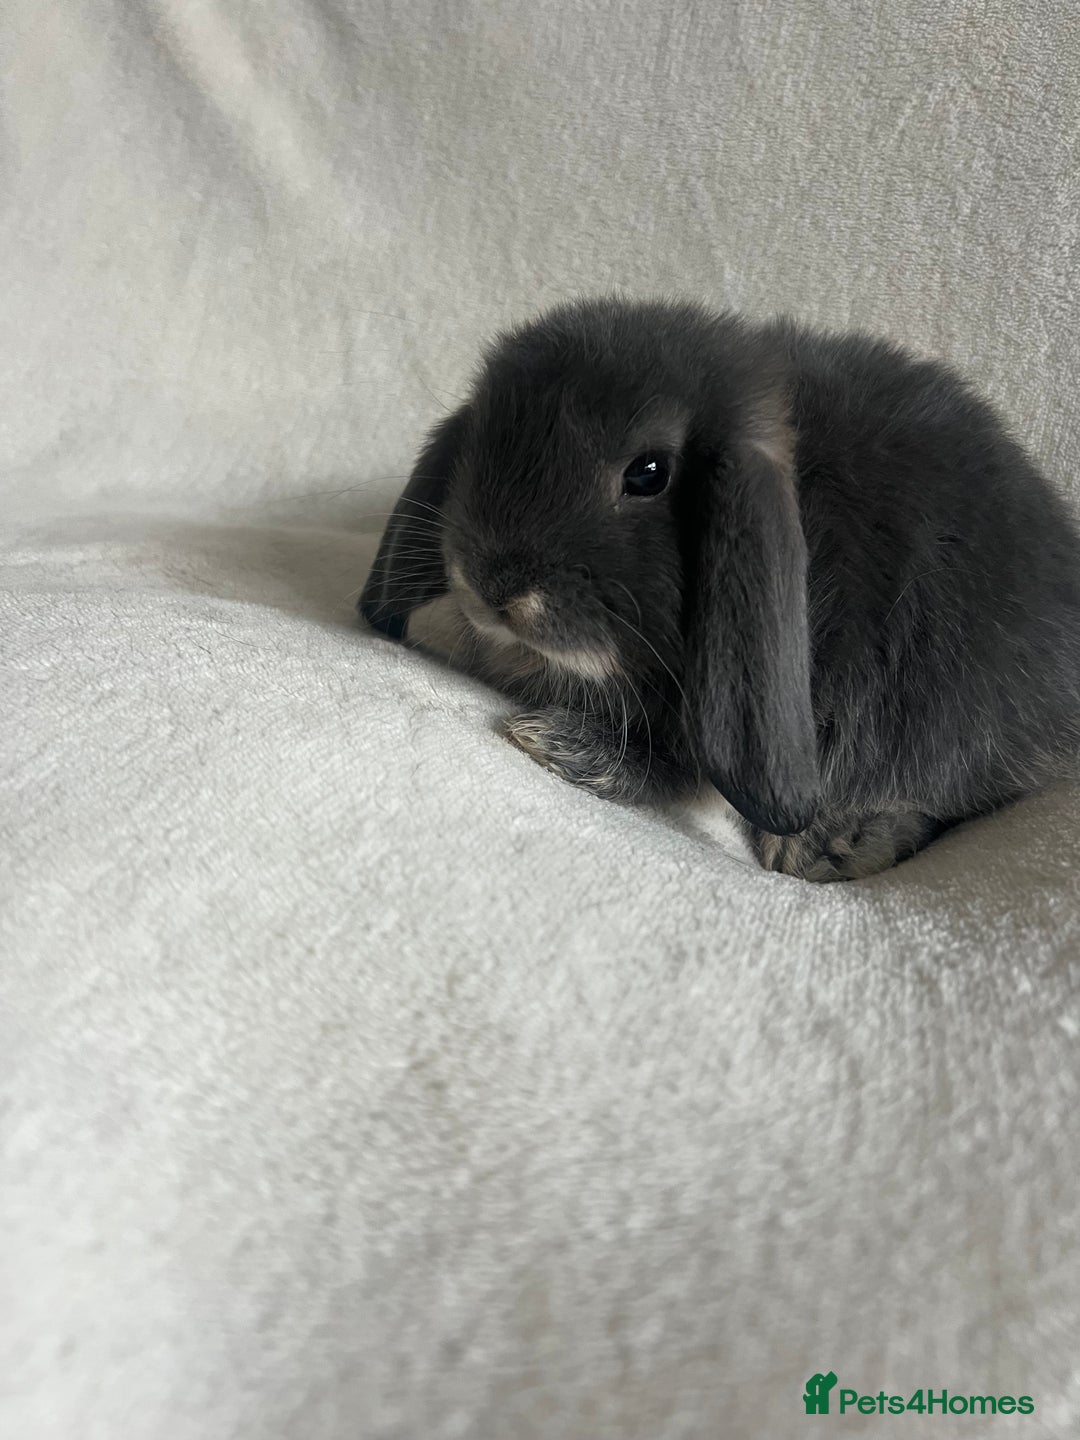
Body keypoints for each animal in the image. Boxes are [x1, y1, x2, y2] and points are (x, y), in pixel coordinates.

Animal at [360, 297, 1080, 881]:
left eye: (649, 473)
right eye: (482, 436)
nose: (492, 585)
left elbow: (672, 769)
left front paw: (554, 741)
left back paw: (832, 846)